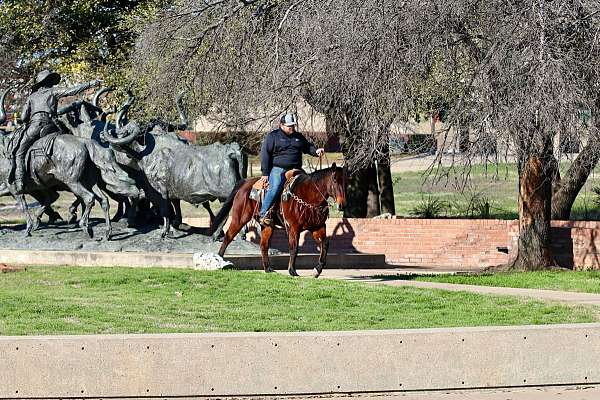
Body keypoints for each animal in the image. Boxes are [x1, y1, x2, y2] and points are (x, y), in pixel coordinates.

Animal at [213, 164, 346, 276]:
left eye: (345, 181)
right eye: (335, 180)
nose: (342, 205)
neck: (308, 195)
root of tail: (245, 182)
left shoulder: (317, 227)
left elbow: (325, 244)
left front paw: (317, 269)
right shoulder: (293, 227)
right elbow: (294, 247)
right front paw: (292, 271)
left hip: (267, 226)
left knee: (264, 245)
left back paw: (268, 269)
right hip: (239, 218)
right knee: (228, 237)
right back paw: (219, 260)